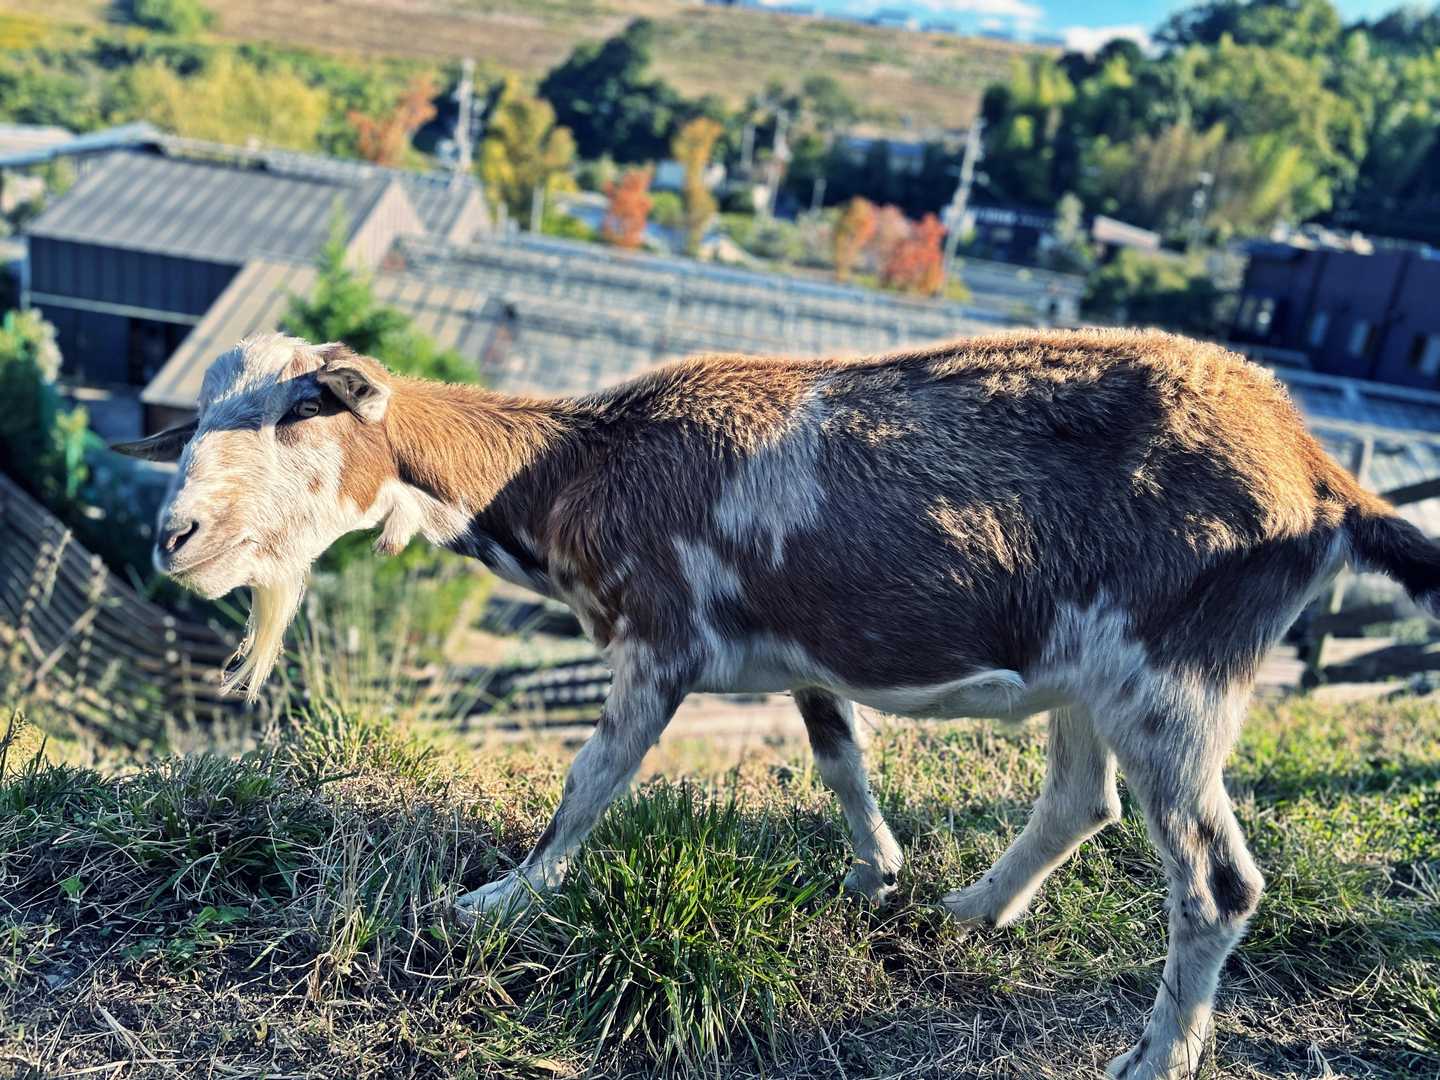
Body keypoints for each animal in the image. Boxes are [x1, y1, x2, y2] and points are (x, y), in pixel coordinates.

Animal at [113, 327, 1440, 1080]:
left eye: (308, 406)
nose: (177, 536)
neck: (579, 462)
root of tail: (1316, 468)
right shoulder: (796, 645)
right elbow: (838, 750)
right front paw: (873, 873)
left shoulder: (661, 637)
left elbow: (590, 781)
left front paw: (501, 901)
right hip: (1095, 667)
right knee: (1081, 798)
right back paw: (973, 910)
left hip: (1174, 673)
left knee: (1216, 881)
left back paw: (1156, 1058)